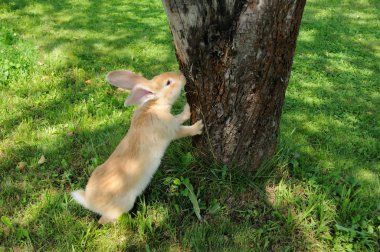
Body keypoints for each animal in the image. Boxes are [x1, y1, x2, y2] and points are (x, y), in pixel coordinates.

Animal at [70, 69, 203, 224]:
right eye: (168, 82)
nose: (182, 75)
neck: (154, 105)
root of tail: (90, 202)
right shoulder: (171, 130)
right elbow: (184, 129)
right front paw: (198, 126)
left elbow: (179, 117)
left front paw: (187, 109)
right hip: (123, 205)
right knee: (104, 220)